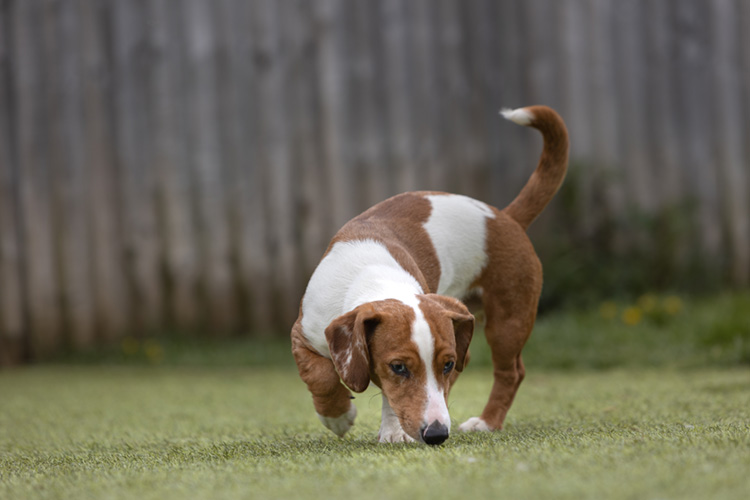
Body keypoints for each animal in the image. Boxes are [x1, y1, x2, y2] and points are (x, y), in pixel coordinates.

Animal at [290, 105, 568, 446]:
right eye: (398, 367)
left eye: (446, 364)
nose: (437, 433)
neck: (373, 276)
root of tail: (503, 216)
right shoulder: (303, 335)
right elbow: (321, 376)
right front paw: (338, 416)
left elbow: (388, 397)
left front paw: (391, 431)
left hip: (509, 320)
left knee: (510, 372)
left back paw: (486, 422)